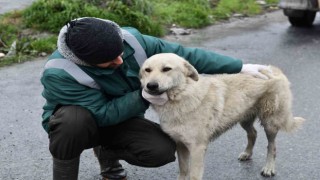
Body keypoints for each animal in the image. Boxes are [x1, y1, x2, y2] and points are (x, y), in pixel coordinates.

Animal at [140, 52, 304, 179]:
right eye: (147, 70)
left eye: (166, 69)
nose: (151, 86)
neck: (182, 95)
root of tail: (273, 69)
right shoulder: (180, 144)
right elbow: (183, 171)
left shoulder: (197, 149)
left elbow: (193, 175)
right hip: (244, 118)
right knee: (253, 133)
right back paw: (247, 153)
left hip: (270, 123)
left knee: (272, 146)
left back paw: (269, 167)